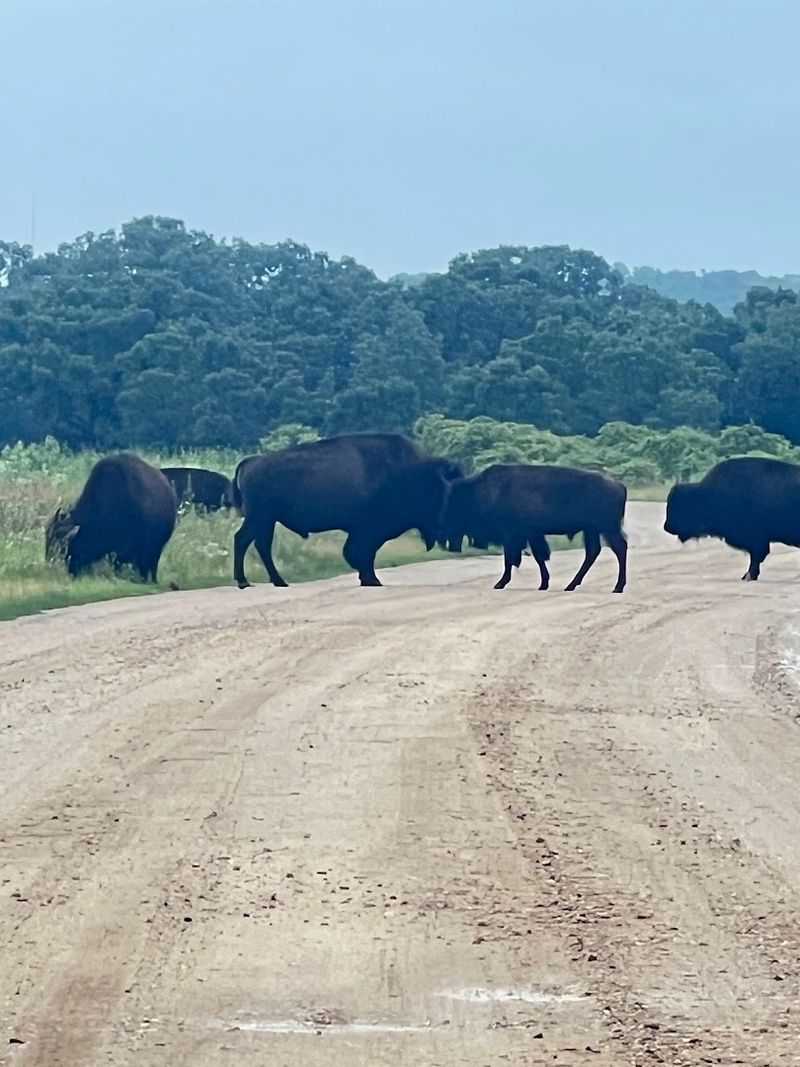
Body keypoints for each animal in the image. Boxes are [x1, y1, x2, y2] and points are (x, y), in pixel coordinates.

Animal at [231, 433, 462, 588]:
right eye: (440, 491)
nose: (445, 525)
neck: (411, 474)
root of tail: (251, 462)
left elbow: (360, 552)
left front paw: (367, 579)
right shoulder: (369, 530)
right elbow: (361, 552)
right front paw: (372, 580)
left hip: (266, 520)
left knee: (258, 544)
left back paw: (275, 582)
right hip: (260, 517)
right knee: (245, 540)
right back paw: (247, 582)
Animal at [441, 463, 628, 593]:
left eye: (455, 501)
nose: (444, 523)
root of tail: (620, 486)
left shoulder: (513, 534)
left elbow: (512, 559)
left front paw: (500, 583)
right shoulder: (530, 534)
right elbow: (537, 557)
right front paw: (543, 584)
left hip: (607, 527)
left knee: (619, 548)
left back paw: (617, 587)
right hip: (592, 529)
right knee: (593, 552)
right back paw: (571, 585)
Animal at [665, 456, 800, 580]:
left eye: (683, 506)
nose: (667, 527)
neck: (707, 494)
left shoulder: (756, 539)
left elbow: (756, 557)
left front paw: (748, 576)